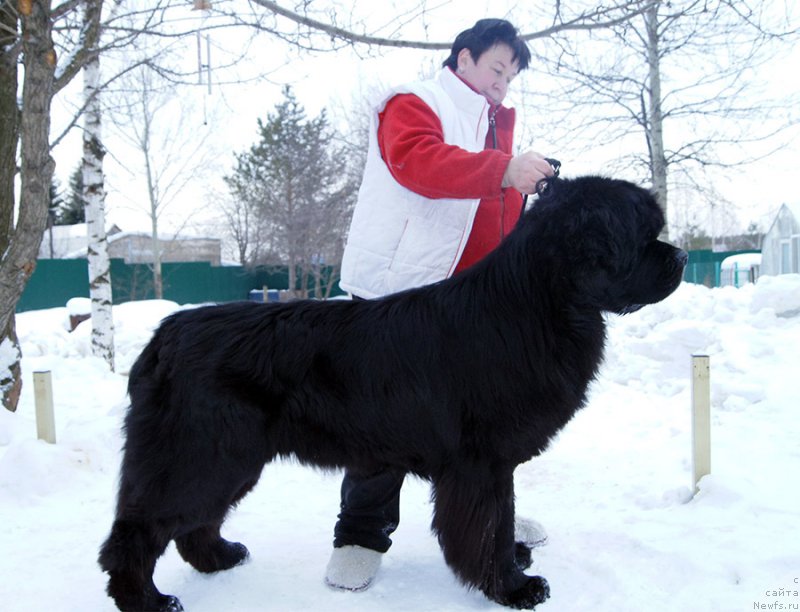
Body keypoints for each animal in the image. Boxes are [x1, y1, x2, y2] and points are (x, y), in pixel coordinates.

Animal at [98, 175, 688, 608]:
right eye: (642, 235)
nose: (682, 258)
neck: (538, 303)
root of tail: (164, 338)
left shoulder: (491, 465)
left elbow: (502, 519)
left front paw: (515, 562)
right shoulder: (482, 464)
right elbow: (490, 527)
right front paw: (512, 587)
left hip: (230, 460)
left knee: (195, 522)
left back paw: (220, 558)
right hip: (199, 455)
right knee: (136, 531)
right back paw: (147, 601)